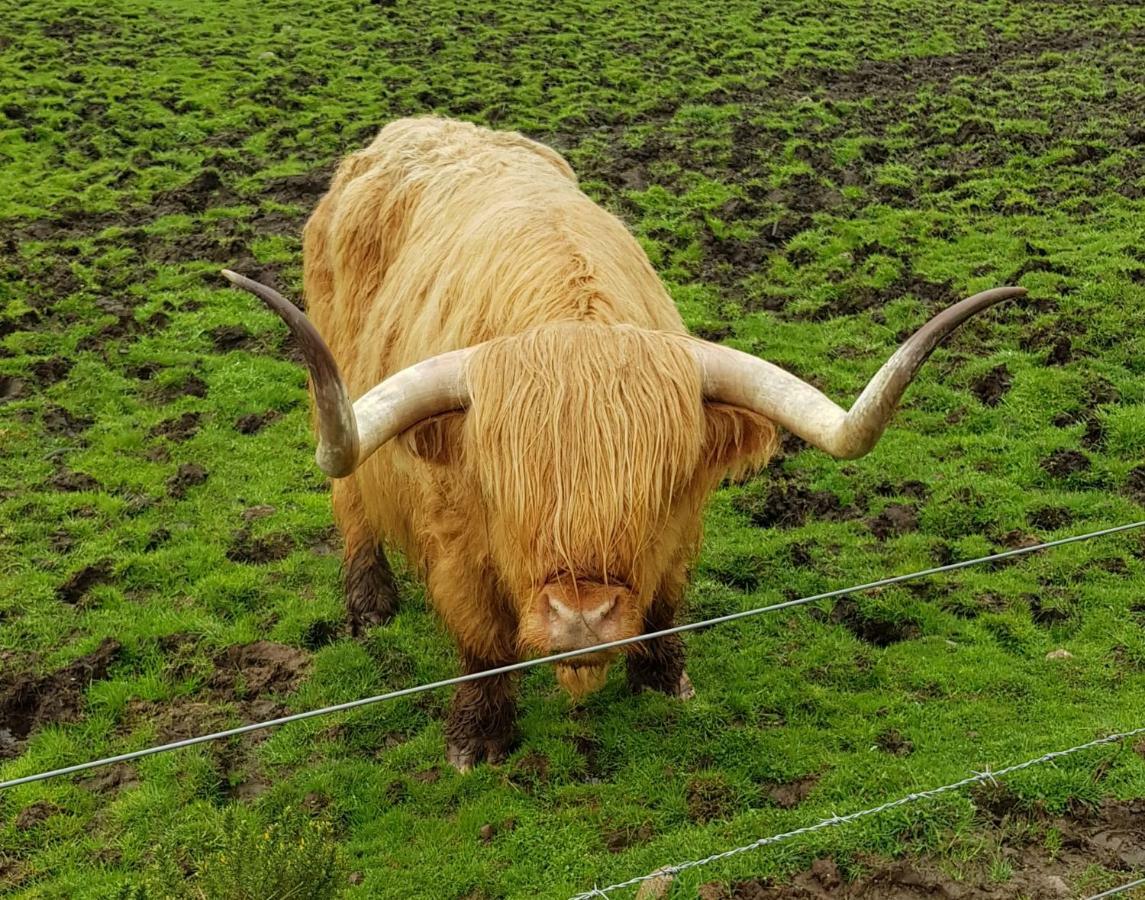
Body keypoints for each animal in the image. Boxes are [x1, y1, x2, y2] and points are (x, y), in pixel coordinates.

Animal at [220, 115, 1021, 769]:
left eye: (656, 485)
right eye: (505, 487)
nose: (582, 619)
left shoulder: (677, 530)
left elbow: (664, 601)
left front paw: (665, 681)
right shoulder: (458, 536)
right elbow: (481, 638)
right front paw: (476, 738)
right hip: (342, 398)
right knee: (351, 496)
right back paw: (370, 605)